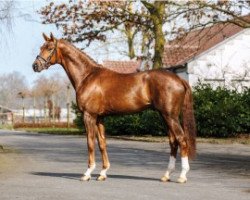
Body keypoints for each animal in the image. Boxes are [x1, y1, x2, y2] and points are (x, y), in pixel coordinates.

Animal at [32, 33, 195, 184]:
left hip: (170, 116)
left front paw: (87, 173)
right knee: (173, 142)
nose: (35, 66)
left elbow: (90, 142)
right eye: (41, 47)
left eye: (50, 48)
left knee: (182, 140)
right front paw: (103, 173)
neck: (87, 76)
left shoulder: (89, 115)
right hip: (164, 116)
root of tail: (179, 79)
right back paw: (166, 175)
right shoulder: (99, 118)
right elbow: (102, 143)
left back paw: (182, 176)